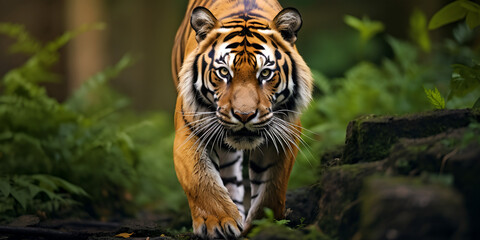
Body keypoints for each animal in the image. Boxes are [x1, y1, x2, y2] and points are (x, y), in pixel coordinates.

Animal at [171, 0, 314, 238]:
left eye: (265, 74)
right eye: (223, 72)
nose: (244, 115)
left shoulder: (284, 134)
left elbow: (271, 187)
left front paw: (263, 225)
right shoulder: (188, 130)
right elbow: (201, 180)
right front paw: (219, 223)